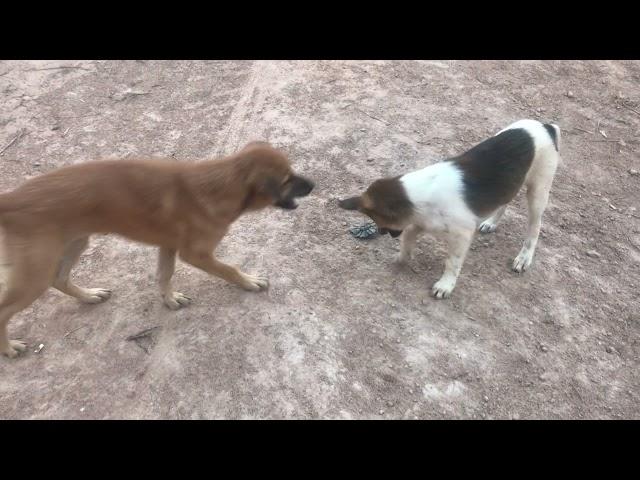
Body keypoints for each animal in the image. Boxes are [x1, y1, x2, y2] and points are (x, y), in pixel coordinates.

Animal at [0, 141, 316, 358]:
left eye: (292, 172)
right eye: (287, 180)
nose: (314, 184)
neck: (223, 182)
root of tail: (12, 200)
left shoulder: (168, 245)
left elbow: (165, 275)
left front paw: (170, 299)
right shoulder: (196, 254)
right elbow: (230, 269)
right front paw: (250, 281)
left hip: (75, 242)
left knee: (60, 279)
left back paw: (90, 296)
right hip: (36, 271)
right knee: (6, 308)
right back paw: (9, 348)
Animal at [340, 119, 560, 298]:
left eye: (378, 221)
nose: (381, 233)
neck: (421, 194)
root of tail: (545, 127)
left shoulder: (461, 235)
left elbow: (452, 262)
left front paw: (445, 285)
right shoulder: (421, 222)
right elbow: (408, 237)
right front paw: (403, 258)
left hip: (538, 190)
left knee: (534, 227)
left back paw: (524, 258)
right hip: (513, 181)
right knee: (504, 200)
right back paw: (491, 223)